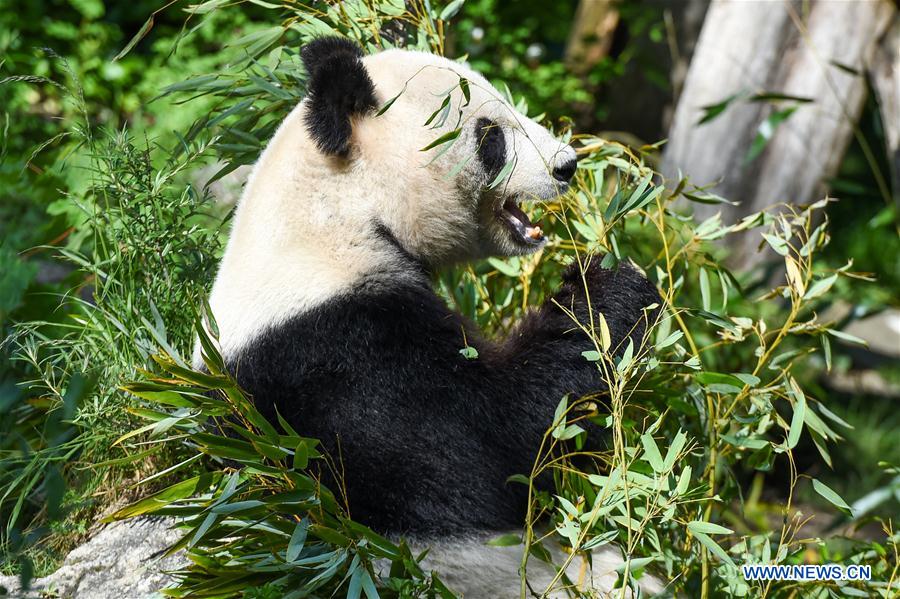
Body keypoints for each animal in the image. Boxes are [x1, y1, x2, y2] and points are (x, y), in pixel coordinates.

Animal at [202, 38, 660, 599]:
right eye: (491, 134)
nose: (567, 166)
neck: (337, 208)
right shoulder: (336, 353)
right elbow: (498, 446)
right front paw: (609, 286)